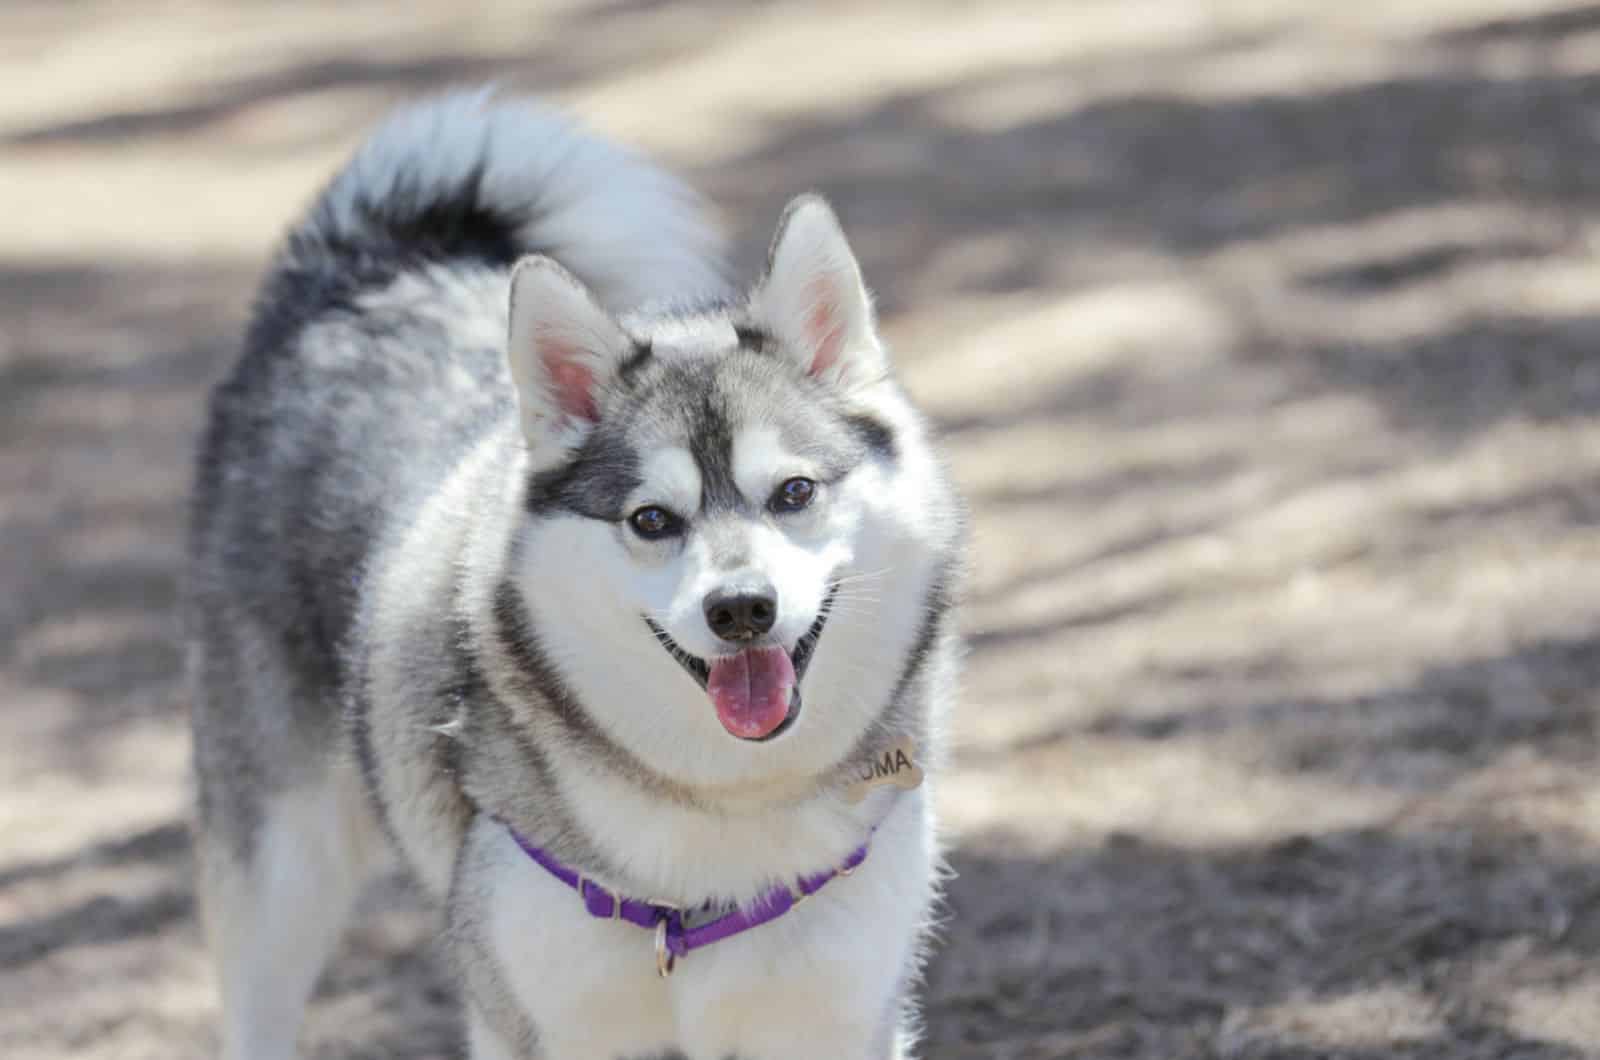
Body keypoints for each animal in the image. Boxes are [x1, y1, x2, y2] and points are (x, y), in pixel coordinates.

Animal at [187, 91, 960, 1060]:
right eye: (652, 520)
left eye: (794, 492)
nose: (742, 609)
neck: (720, 824)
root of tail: (369, 271)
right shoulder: (539, 1023)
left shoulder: (839, 1020)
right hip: (279, 871)